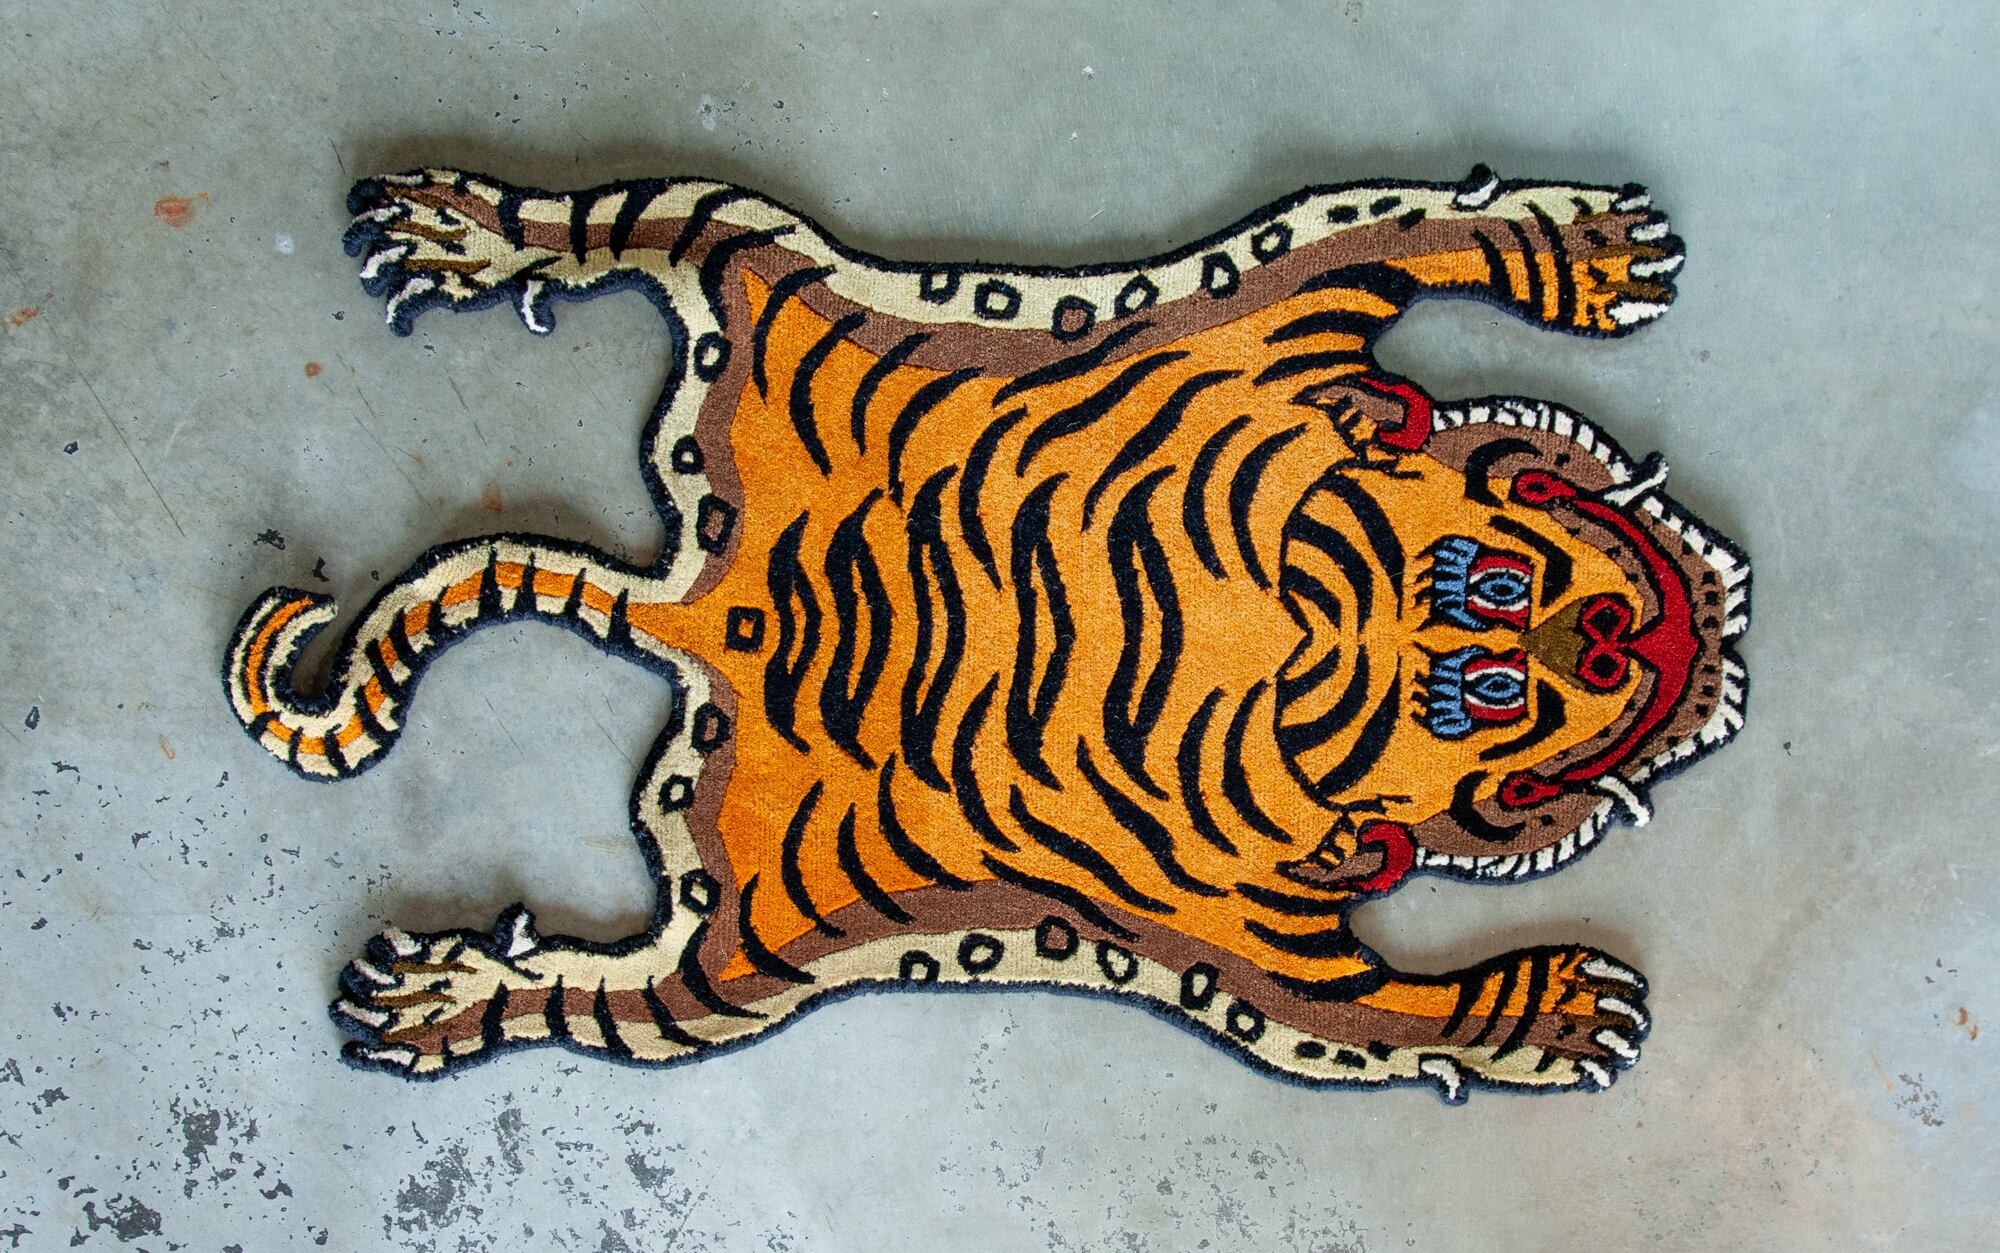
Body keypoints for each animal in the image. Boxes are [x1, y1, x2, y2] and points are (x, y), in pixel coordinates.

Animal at [224, 163, 1749, 1101]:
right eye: (1496, 625)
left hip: (740, 951)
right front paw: (1551, 1018)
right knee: (626, 222)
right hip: (759, 263)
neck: (1333, 621)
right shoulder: (1288, 309)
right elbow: (1401, 229)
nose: (1644, 642)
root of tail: (697, 601)